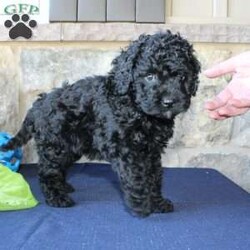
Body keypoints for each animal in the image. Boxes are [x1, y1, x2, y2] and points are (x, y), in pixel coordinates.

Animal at [0, 30, 200, 216]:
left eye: (182, 77)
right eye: (150, 76)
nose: (169, 102)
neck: (134, 106)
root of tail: (38, 104)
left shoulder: (152, 150)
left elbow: (154, 176)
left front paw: (157, 202)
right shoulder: (127, 150)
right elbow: (136, 177)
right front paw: (141, 206)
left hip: (70, 147)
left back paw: (63, 187)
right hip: (56, 145)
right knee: (46, 172)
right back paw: (57, 198)